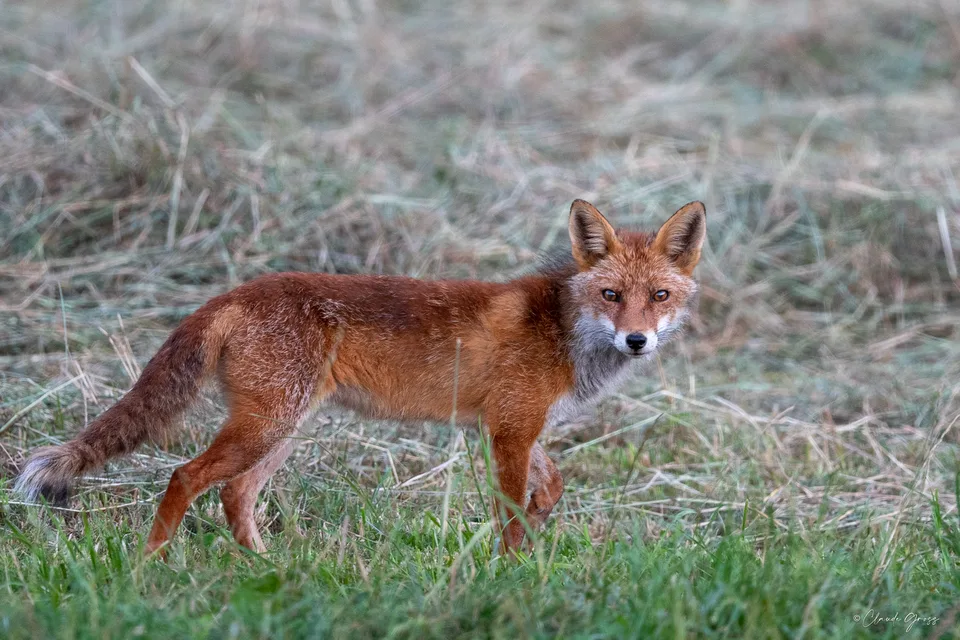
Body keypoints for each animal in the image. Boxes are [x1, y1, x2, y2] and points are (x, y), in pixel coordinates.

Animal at [15, 199, 706, 556]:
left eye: (660, 296)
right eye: (612, 295)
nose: (637, 340)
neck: (564, 329)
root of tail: (236, 291)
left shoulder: (512, 427)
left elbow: (551, 486)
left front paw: (537, 524)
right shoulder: (509, 430)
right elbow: (511, 511)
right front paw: (514, 568)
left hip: (281, 430)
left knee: (234, 495)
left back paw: (267, 569)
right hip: (267, 427)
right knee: (186, 476)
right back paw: (151, 565)